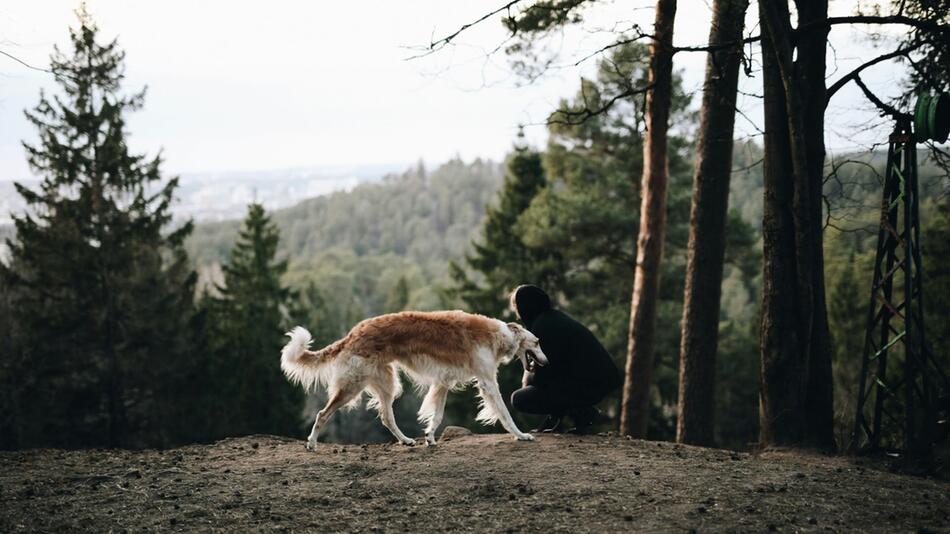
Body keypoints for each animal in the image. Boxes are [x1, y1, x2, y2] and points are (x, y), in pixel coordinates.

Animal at [280, 310, 552, 448]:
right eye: (538, 342)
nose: (548, 362)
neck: (499, 334)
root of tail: (352, 333)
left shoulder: (443, 382)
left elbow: (437, 416)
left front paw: (429, 437)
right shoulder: (486, 381)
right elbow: (505, 413)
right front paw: (521, 435)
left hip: (387, 384)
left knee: (386, 417)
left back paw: (406, 440)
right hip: (352, 385)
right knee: (321, 414)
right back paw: (311, 443)